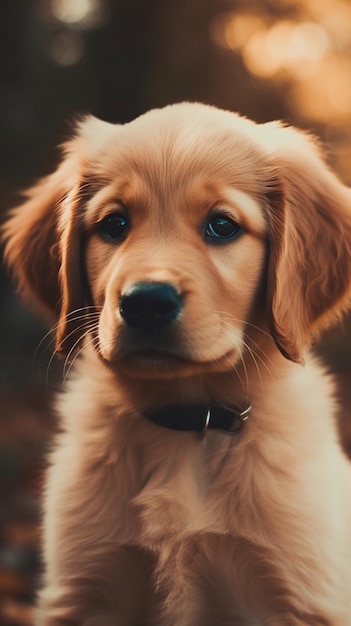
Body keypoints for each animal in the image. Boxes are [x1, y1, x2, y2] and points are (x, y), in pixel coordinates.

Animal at [2, 100, 351, 620]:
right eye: (114, 224)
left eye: (222, 226)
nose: (147, 301)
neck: (190, 424)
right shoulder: (83, 590)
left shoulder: (302, 597)